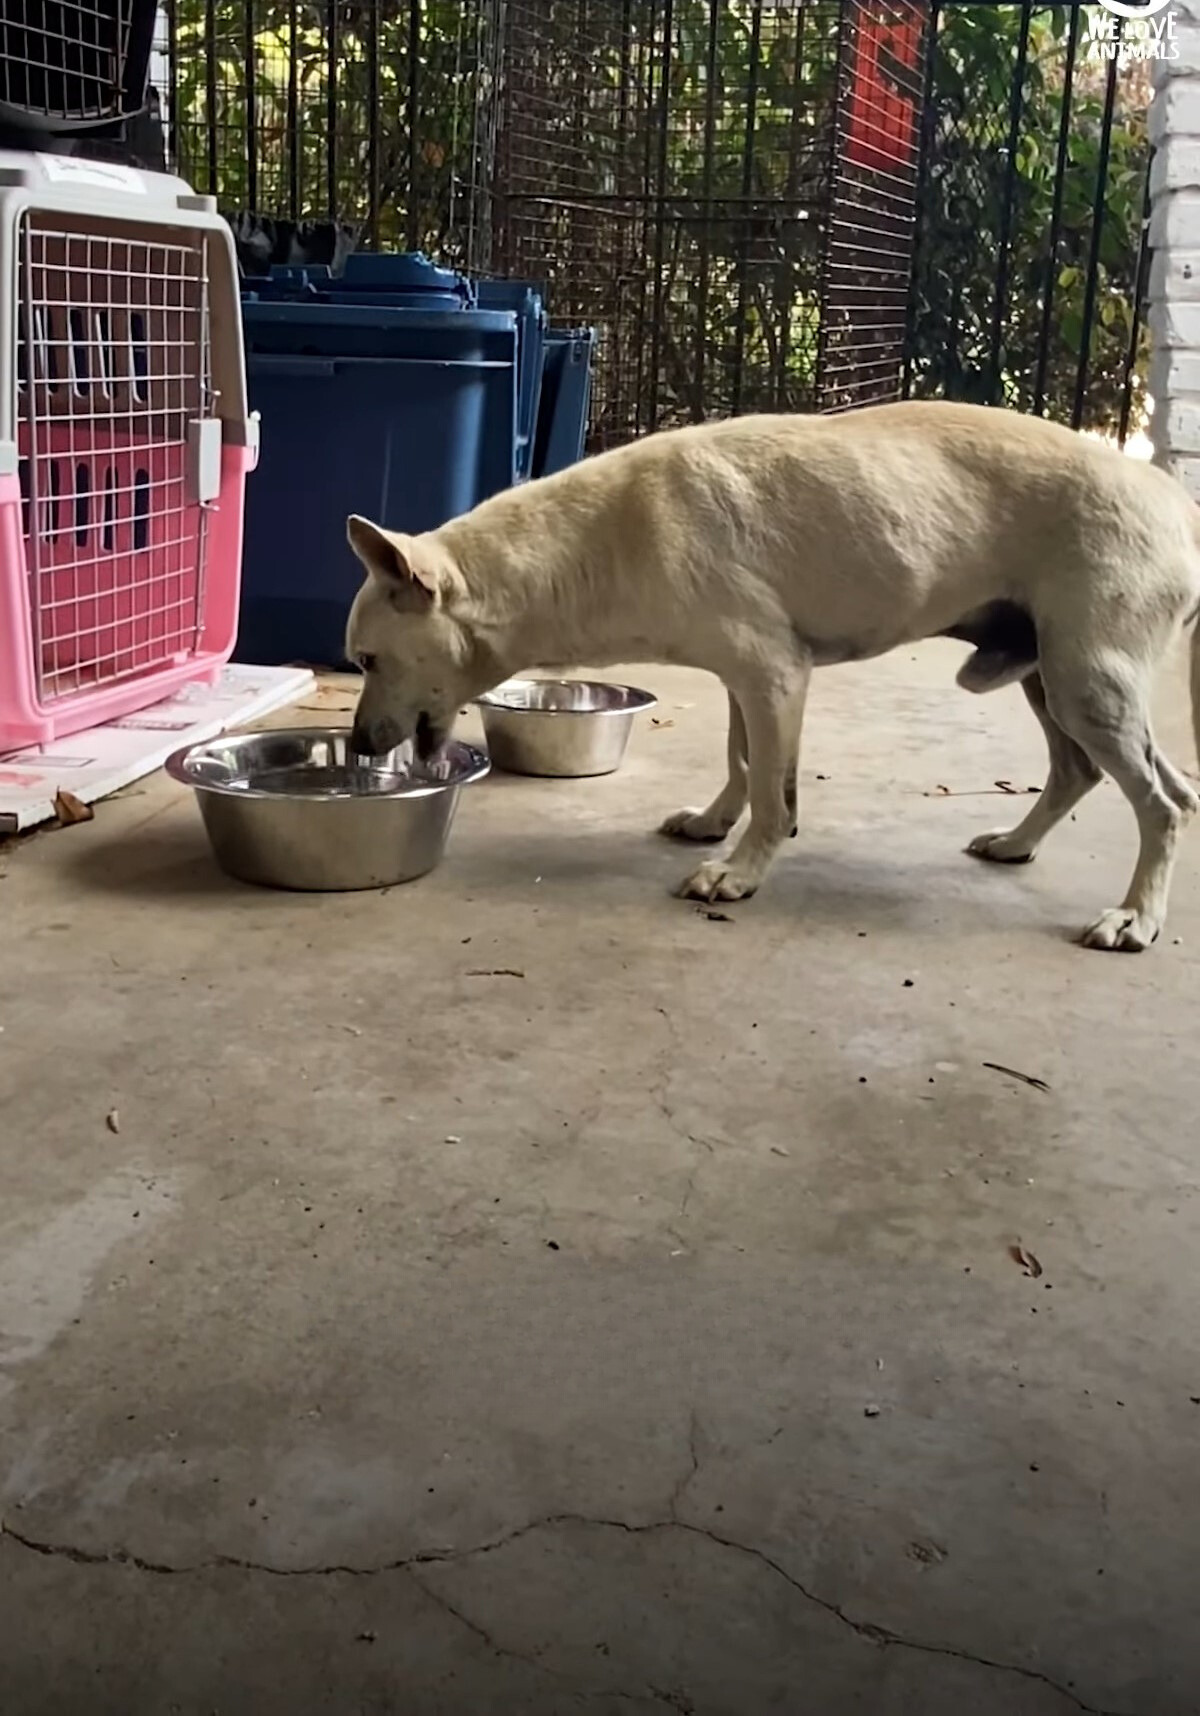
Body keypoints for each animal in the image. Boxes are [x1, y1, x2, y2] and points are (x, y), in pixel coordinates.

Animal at [343, 401, 1194, 954]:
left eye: (367, 660)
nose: (356, 748)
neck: (599, 539)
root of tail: (1174, 499)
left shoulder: (774, 674)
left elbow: (773, 792)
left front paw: (740, 871)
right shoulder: (740, 679)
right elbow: (741, 760)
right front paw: (713, 822)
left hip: (1088, 685)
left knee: (1166, 804)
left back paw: (1136, 918)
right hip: (1048, 678)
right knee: (1079, 771)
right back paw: (1018, 844)